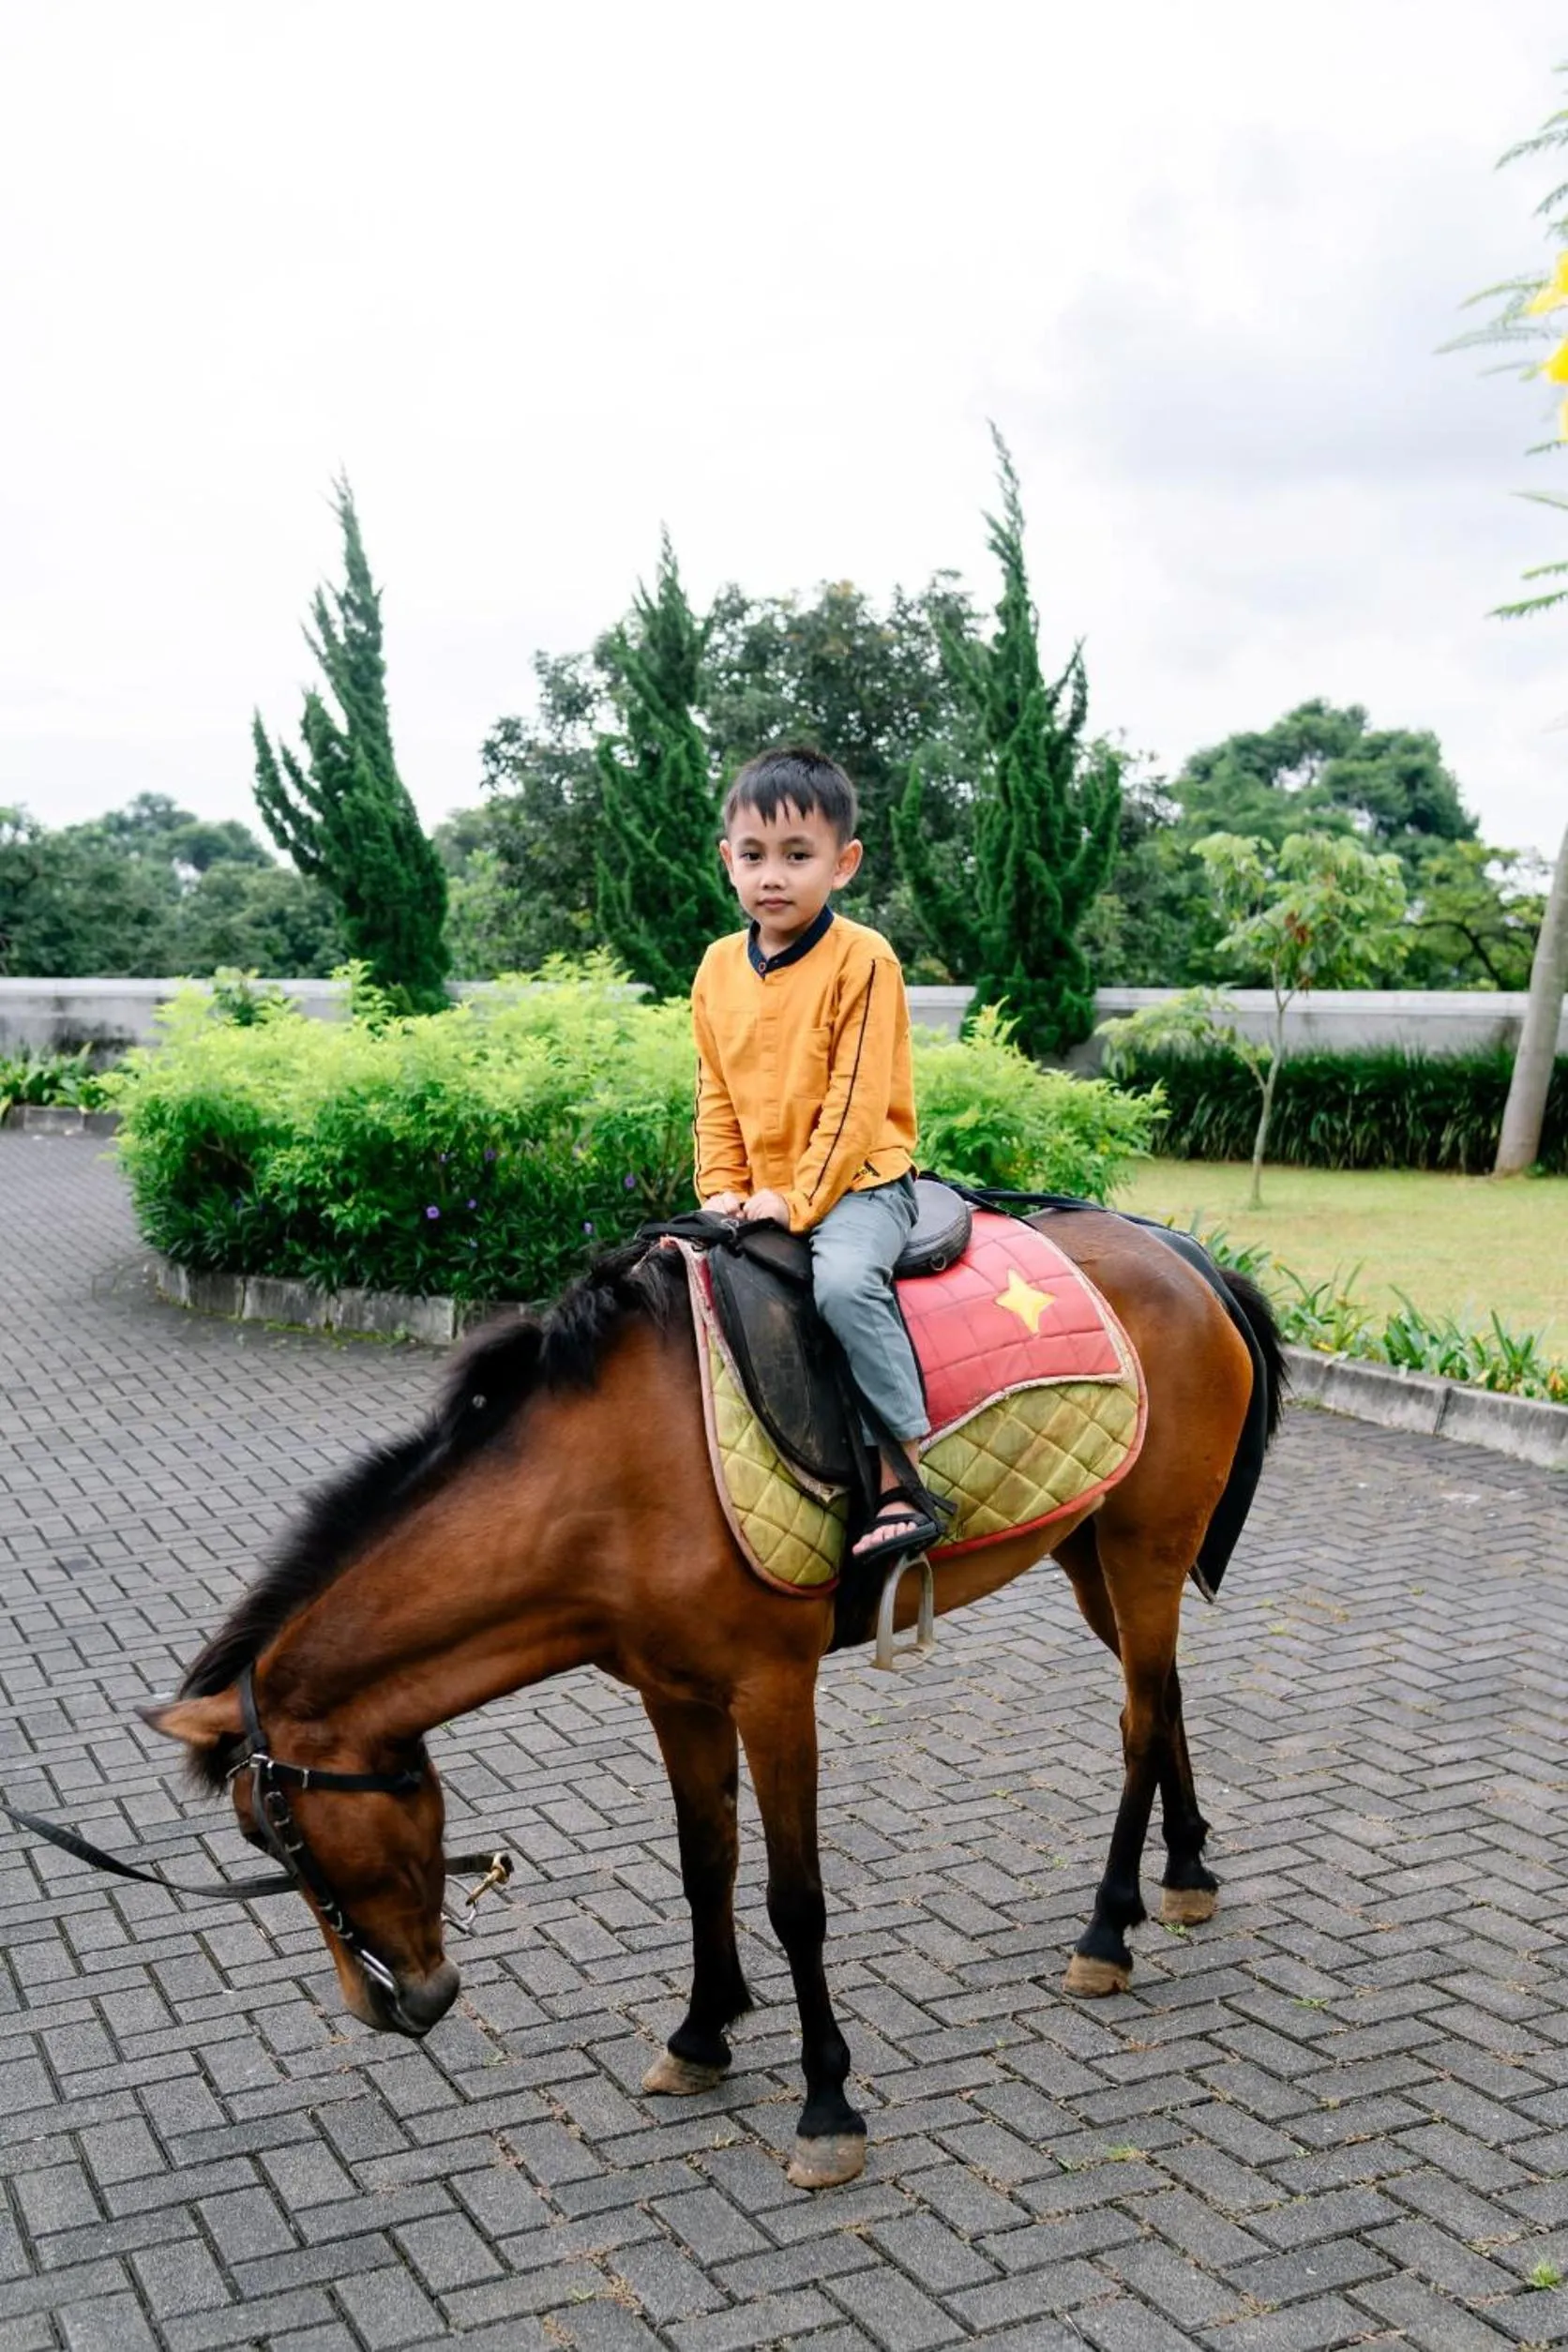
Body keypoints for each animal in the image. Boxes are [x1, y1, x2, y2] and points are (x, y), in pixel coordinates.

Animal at [144, 1208, 1284, 2191]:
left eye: (281, 1835)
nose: (397, 2005)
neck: (612, 1476)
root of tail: (1185, 1257)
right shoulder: (674, 1695)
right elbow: (704, 1867)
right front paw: (701, 2032)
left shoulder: (773, 1688)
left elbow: (794, 1899)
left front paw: (827, 2104)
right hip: (1091, 1547)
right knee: (1165, 1694)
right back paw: (1185, 1871)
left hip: (1142, 1544)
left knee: (1137, 1722)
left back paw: (1106, 1931)